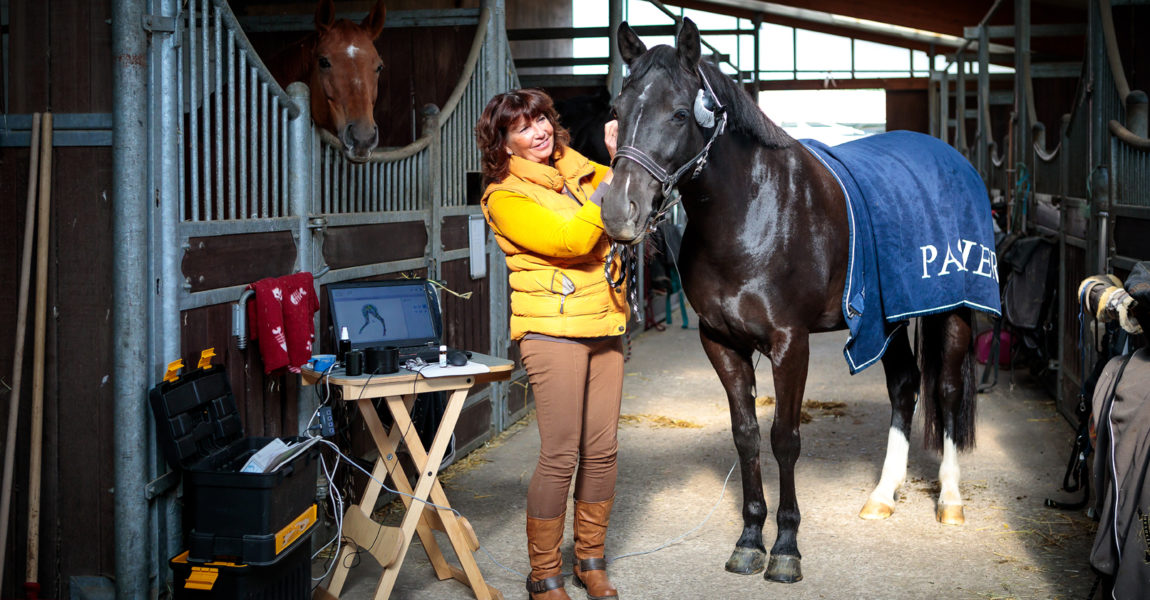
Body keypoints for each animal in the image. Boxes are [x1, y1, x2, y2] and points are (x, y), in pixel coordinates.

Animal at [607, 20, 1002, 581]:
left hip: (951, 311)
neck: (754, 211)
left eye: (681, 113)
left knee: (945, 391)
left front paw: (787, 548)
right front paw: (749, 539)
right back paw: (883, 495)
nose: (619, 210)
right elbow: (746, 435)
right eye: (618, 109)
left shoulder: (790, 344)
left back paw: (949, 501)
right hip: (889, 321)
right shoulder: (721, 342)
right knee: (905, 386)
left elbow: (784, 439)